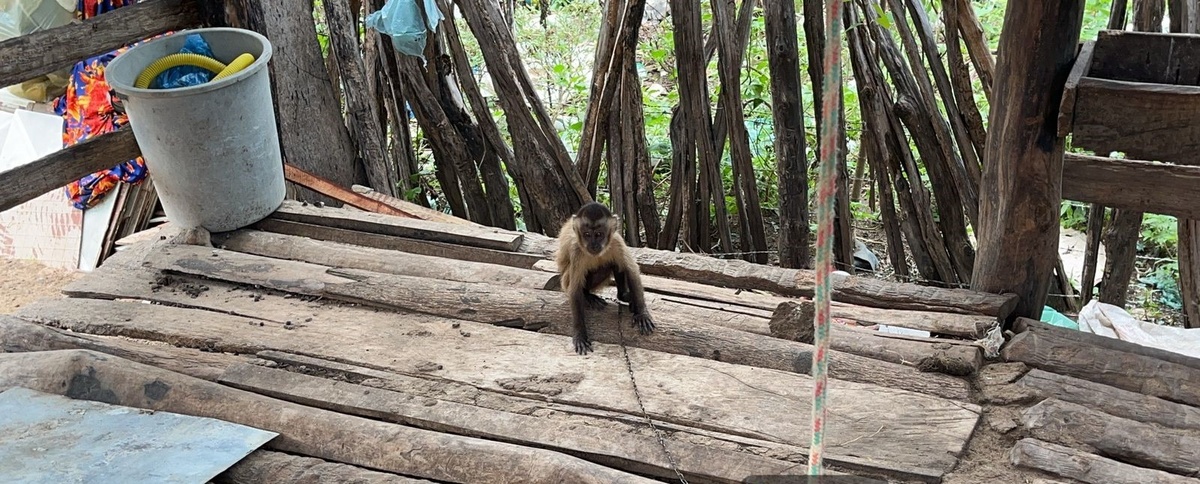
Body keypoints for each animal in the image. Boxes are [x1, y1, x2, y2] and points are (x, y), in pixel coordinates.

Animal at [555, 202, 655, 355]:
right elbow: (575, 289)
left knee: (613, 263)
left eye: (599, 234)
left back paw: (625, 296)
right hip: (564, 281)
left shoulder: (616, 241)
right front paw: (580, 333)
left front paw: (642, 312)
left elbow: (632, 271)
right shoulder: (576, 250)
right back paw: (588, 296)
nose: (593, 244)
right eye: (587, 234)